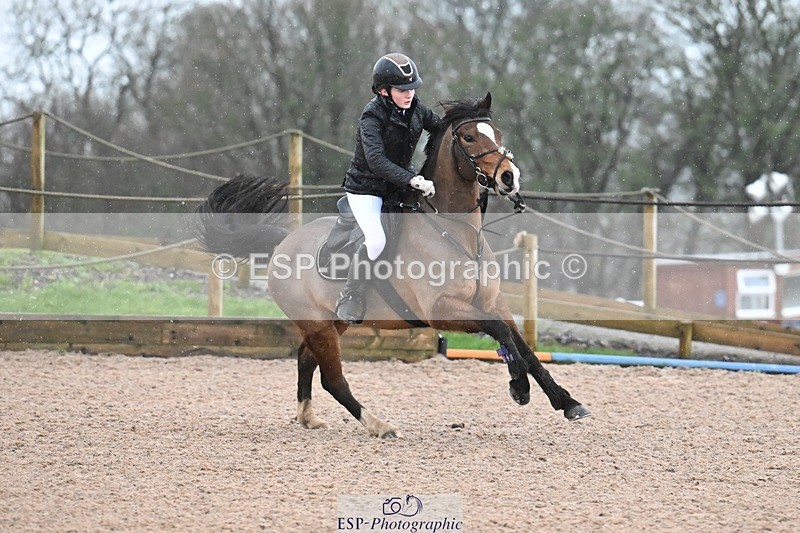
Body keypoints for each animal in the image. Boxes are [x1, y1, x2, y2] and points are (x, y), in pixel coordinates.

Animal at [196, 92, 589, 438]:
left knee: (306, 358)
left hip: (331, 323)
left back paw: (308, 417)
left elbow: (523, 345)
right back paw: (380, 425)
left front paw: (567, 402)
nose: (509, 178)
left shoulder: (493, 303)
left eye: (499, 134)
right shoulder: (442, 311)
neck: (455, 232)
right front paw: (519, 387)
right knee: (332, 379)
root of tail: (281, 244)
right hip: (319, 325)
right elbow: (503, 334)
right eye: (468, 136)